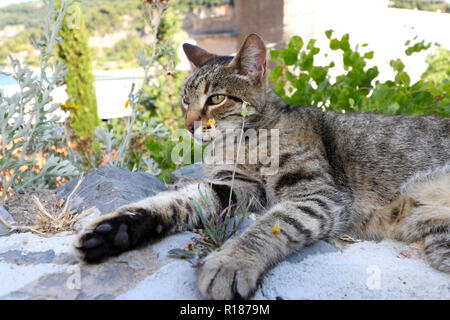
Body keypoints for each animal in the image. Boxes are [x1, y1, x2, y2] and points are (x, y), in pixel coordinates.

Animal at [74, 33, 450, 298]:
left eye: (216, 99)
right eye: (185, 101)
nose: (189, 125)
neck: (241, 142)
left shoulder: (317, 193)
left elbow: (272, 226)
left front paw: (232, 261)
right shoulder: (236, 186)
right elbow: (181, 200)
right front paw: (120, 228)